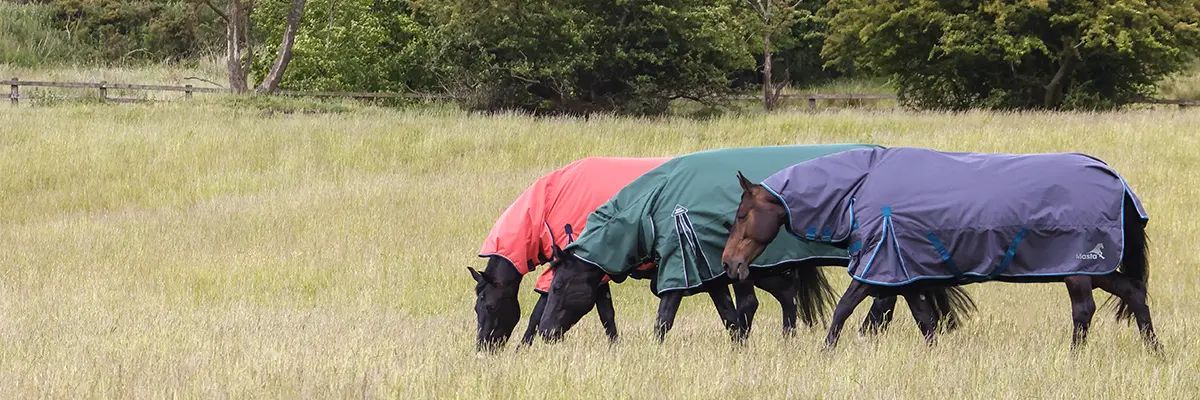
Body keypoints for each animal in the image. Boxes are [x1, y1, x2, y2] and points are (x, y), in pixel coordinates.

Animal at [537, 144, 977, 344]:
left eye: (558, 288)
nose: (542, 332)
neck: (655, 206)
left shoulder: (688, 265)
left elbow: (669, 315)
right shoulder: (715, 270)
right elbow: (737, 311)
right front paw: (747, 344)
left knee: (884, 299)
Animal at [721, 146, 1162, 352]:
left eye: (742, 214)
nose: (730, 263)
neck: (859, 186)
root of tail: (1117, 180)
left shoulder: (880, 263)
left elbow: (844, 308)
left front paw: (825, 351)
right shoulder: (904, 272)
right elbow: (925, 320)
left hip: (1080, 269)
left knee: (1083, 312)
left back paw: (1074, 357)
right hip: (1097, 270)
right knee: (1135, 293)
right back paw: (1154, 350)